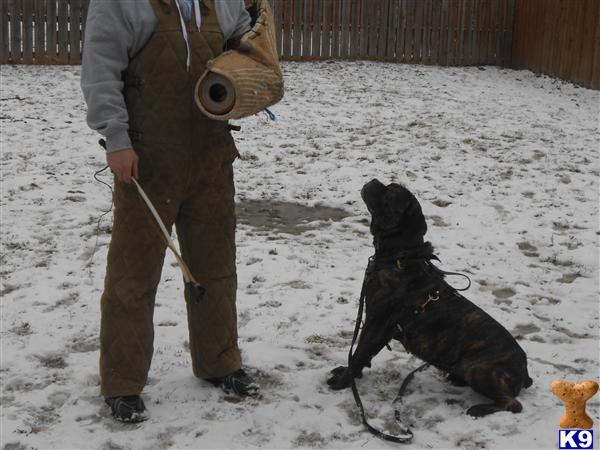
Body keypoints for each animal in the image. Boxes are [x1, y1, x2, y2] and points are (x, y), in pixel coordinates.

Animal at [328, 179, 536, 418]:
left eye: (391, 193)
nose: (375, 181)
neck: (399, 257)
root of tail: (524, 371)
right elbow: (362, 356)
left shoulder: (376, 325)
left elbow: (359, 354)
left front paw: (344, 381)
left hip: (480, 370)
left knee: (512, 404)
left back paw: (478, 409)